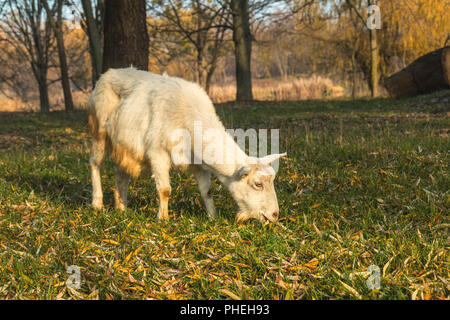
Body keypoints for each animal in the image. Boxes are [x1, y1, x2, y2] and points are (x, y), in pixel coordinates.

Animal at [87, 67, 284, 222]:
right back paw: (97, 203)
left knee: (121, 173)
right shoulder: (157, 152)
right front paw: (163, 219)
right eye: (258, 184)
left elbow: (207, 191)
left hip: (125, 146)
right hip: (99, 132)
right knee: (95, 164)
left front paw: (213, 217)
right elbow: (164, 190)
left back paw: (121, 208)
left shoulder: (199, 164)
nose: (275, 215)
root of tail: (107, 73)